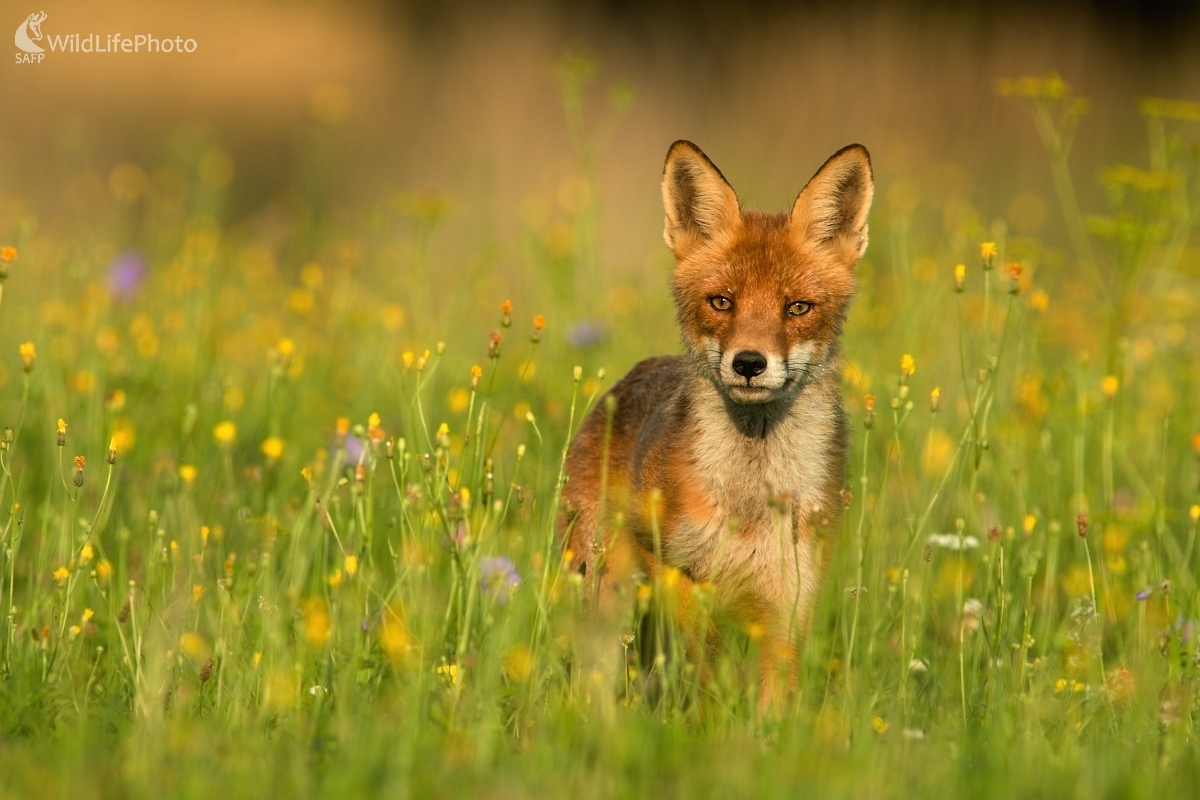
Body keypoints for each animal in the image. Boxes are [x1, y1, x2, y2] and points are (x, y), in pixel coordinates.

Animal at [561, 140, 873, 705]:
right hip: (602, 595)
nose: (749, 363)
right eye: (721, 302)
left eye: (798, 307)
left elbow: (774, 699)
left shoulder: (793, 594)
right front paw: (719, 712)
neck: (750, 498)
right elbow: (709, 666)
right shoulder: (677, 570)